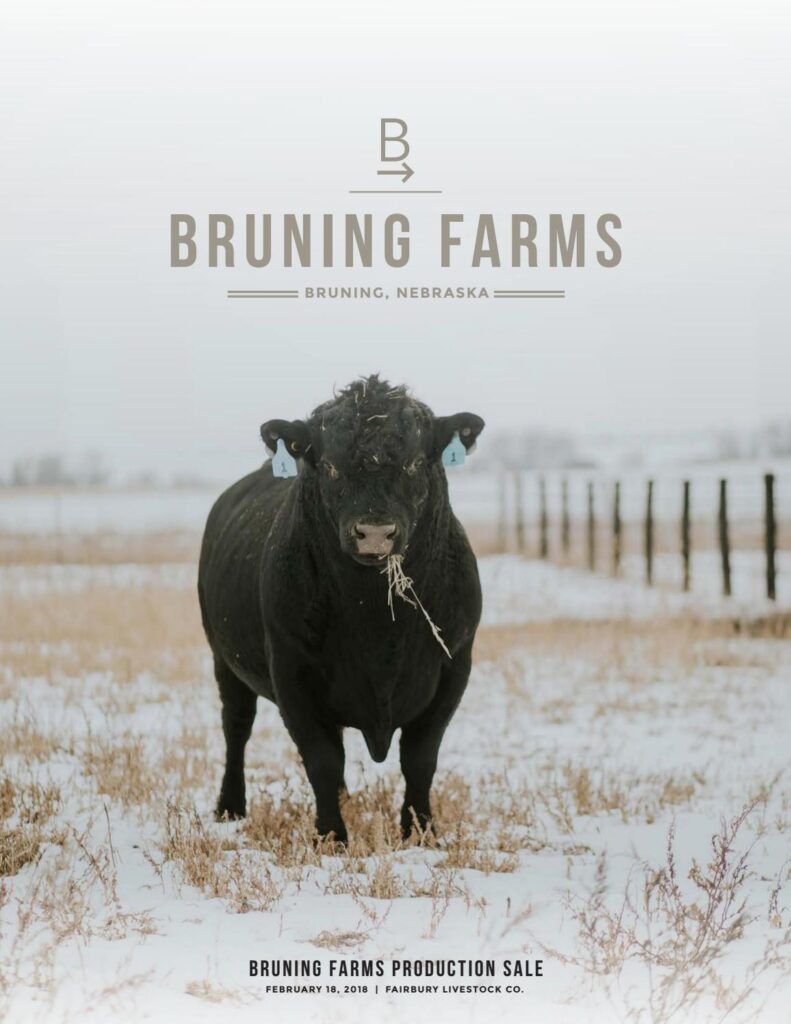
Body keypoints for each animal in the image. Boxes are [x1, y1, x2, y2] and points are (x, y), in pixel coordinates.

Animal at [198, 375, 485, 843]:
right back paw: (230, 807)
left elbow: (420, 758)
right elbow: (322, 759)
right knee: (236, 727)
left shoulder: (454, 664)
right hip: (224, 659)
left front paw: (420, 832)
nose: (374, 533)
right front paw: (331, 836)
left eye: (414, 464)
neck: (377, 624)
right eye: (331, 466)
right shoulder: (292, 672)